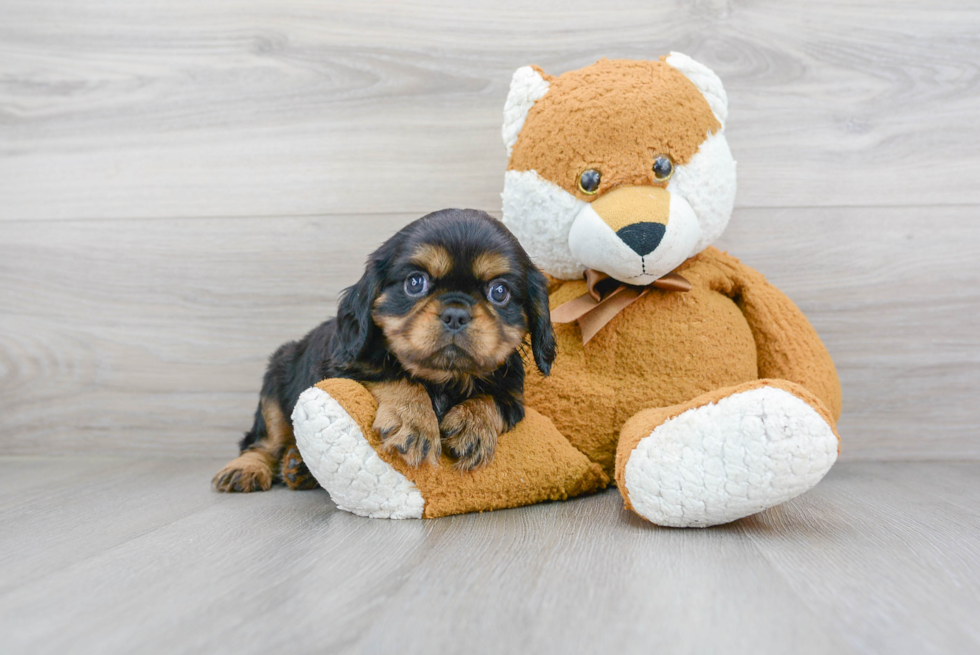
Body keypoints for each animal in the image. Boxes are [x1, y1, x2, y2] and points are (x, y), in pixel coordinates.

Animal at [213, 210, 556, 492]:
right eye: (415, 283)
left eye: (499, 292)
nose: (456, 314)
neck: (443, 379)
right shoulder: (345, 369)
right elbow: (395, 377)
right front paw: (414, 421)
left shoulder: (513, 397)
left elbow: (491, 400)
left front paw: (474, 425)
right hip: (275, 384)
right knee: (262, 442)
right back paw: (247, 469)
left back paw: (299, 468)